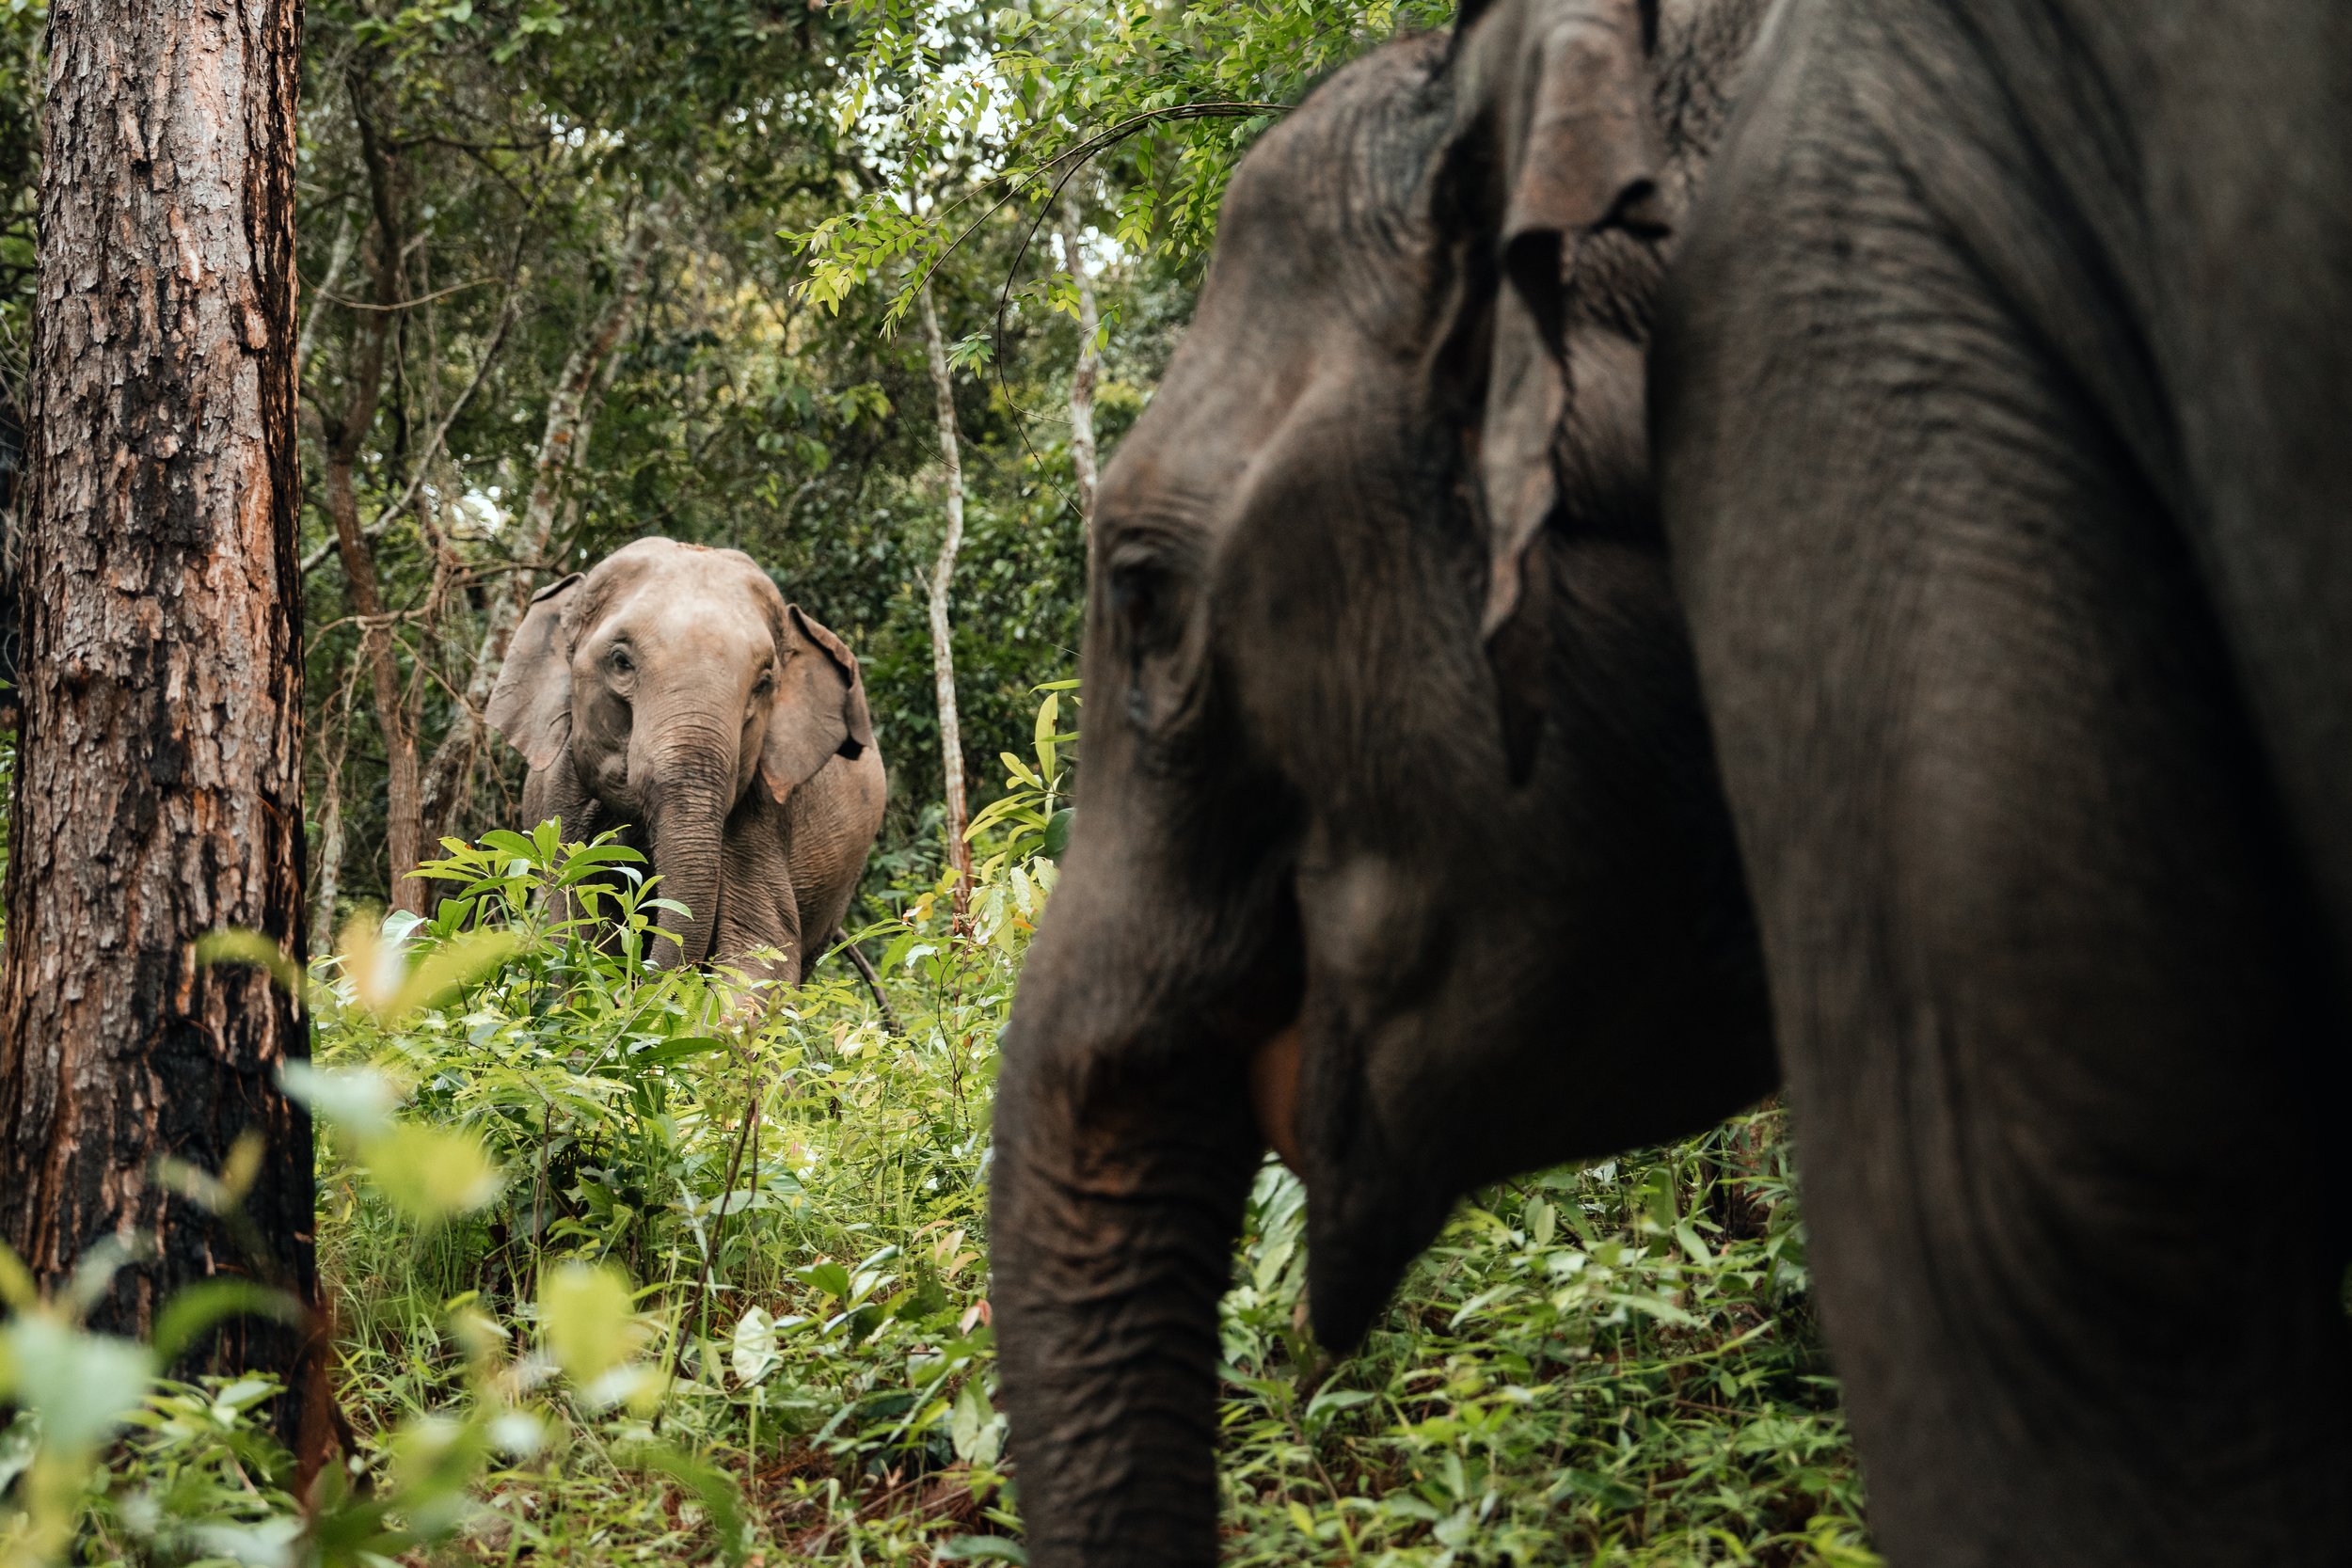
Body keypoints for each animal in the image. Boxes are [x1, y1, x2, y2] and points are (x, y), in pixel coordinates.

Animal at [485, 536, 885, 983]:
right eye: (620, 661)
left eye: (764, 683)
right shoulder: (560, 802)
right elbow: (572, 930)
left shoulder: (761, 809)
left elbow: (764, 948)